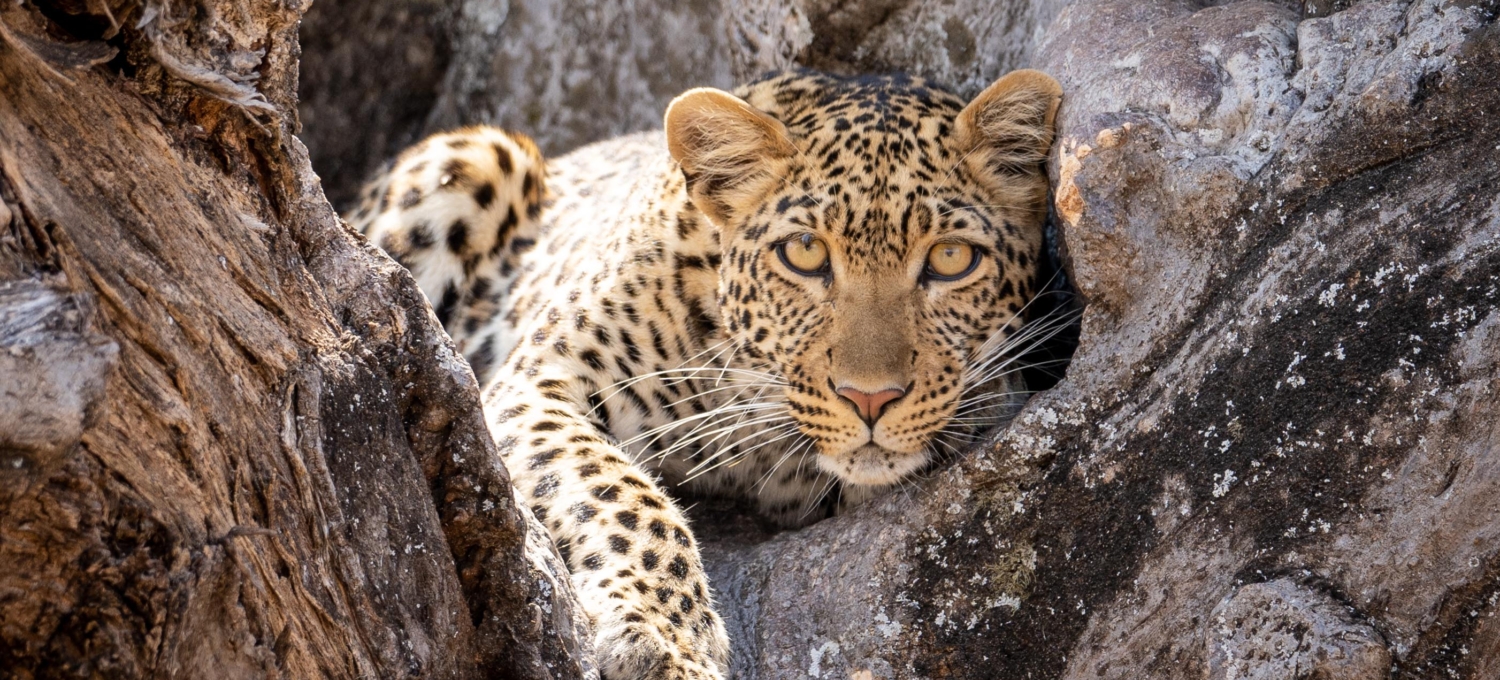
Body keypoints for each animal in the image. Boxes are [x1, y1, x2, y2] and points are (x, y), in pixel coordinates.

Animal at [343, 69, 1062, 678]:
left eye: (951, 259)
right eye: (804, 253)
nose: (871, 398)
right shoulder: (537, 381)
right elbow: (625, 494)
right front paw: (668, 640)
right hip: (472, 158)